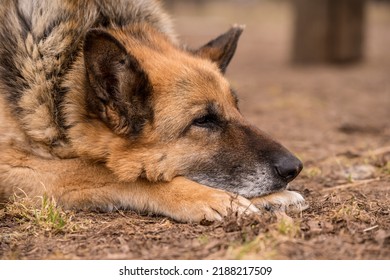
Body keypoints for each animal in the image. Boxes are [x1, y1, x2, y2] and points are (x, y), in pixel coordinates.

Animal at [0, 0, 304, 223]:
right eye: (203, 121)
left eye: (237, 108)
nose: (295, 168)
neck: (61, 78)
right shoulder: (12, 163)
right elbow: (106, 172)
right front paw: (209, 197)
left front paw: (270, 197)